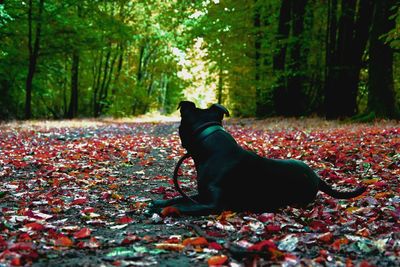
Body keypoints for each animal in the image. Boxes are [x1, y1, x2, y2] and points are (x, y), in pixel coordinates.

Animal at [150, 101, 366, 217]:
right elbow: (178, 197)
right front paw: (160, 202)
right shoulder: (201, 195)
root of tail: (317, 177)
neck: (209, 144)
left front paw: (165, 209)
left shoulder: (213, 204)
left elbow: (181, 206)